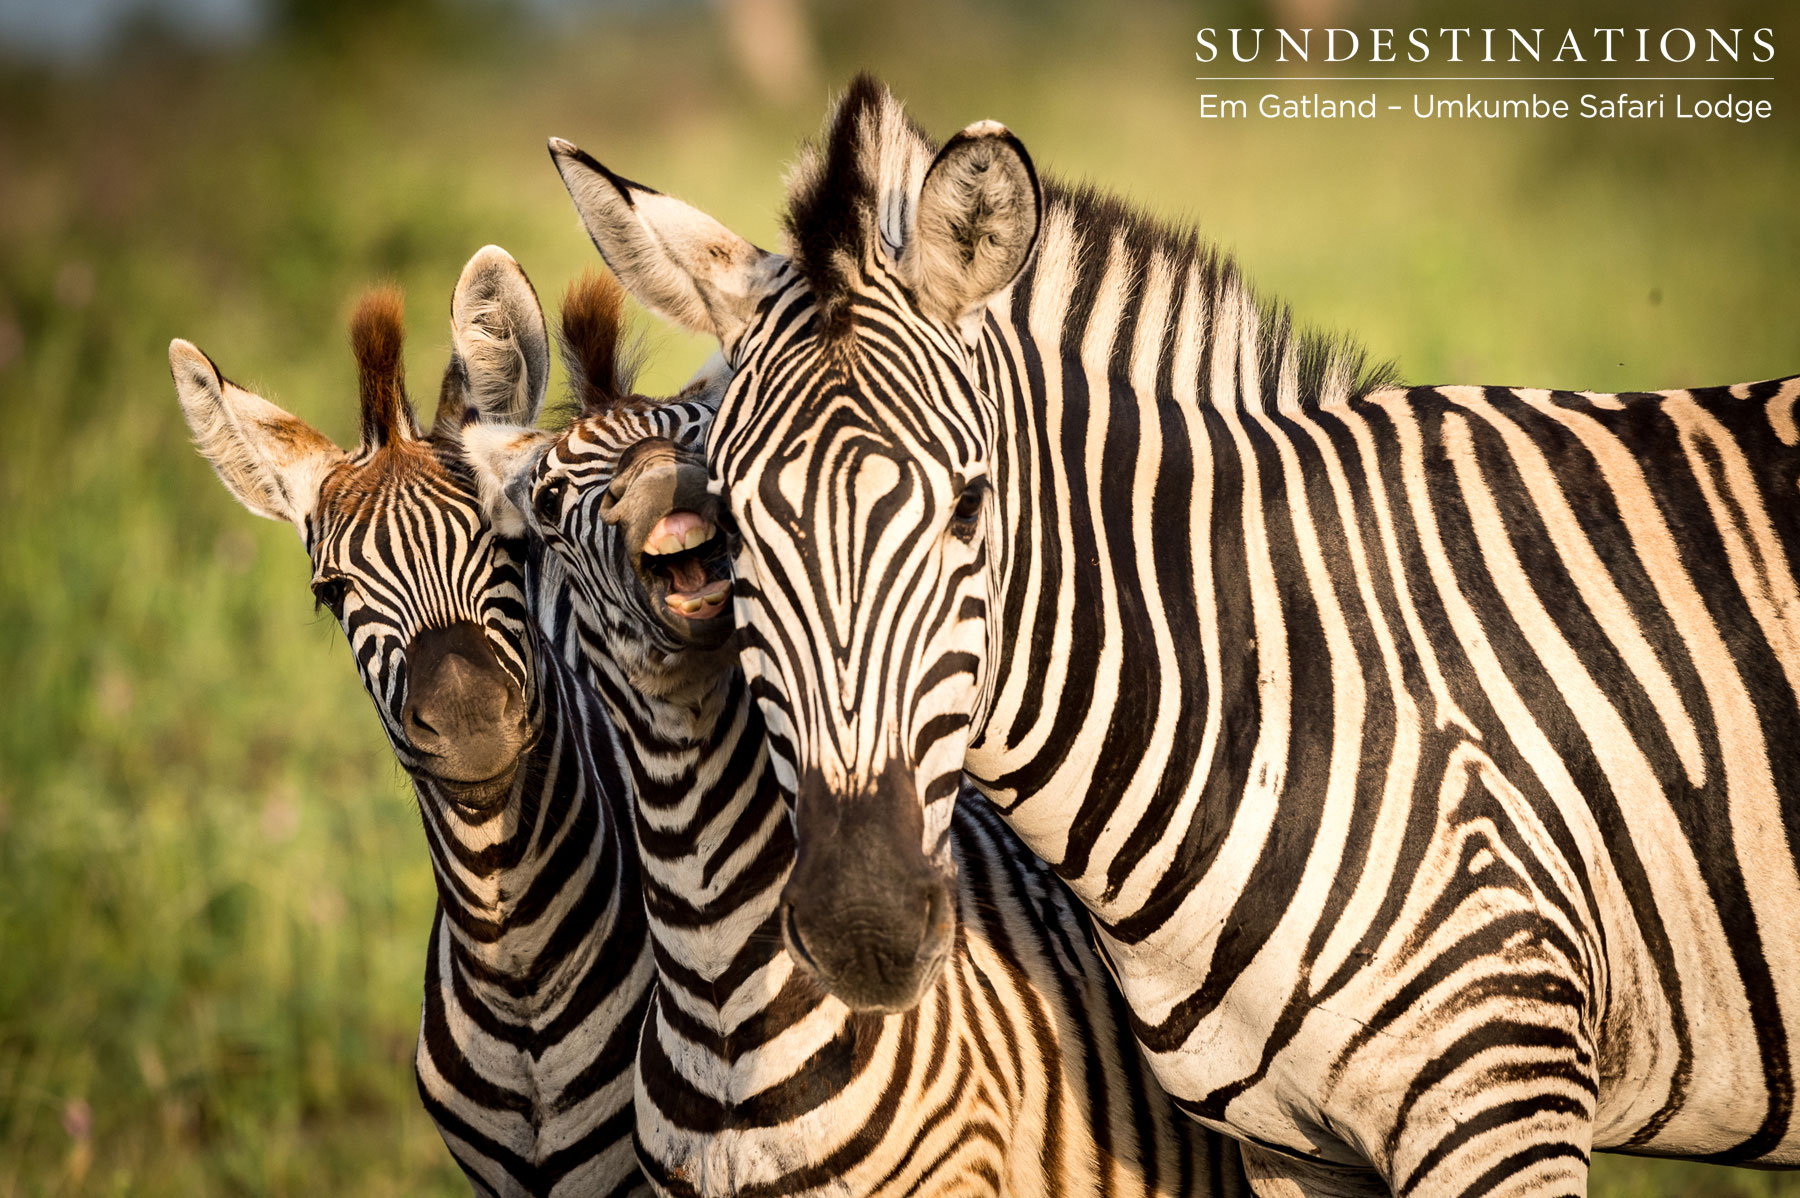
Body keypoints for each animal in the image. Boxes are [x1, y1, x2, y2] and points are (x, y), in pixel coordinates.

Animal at [543, 76, 1800, 1196]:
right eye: (726, 528)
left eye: (970, 507)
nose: (864, 928)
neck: (1273, 687)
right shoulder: (1298, 1149)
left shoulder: (1502, 1089)